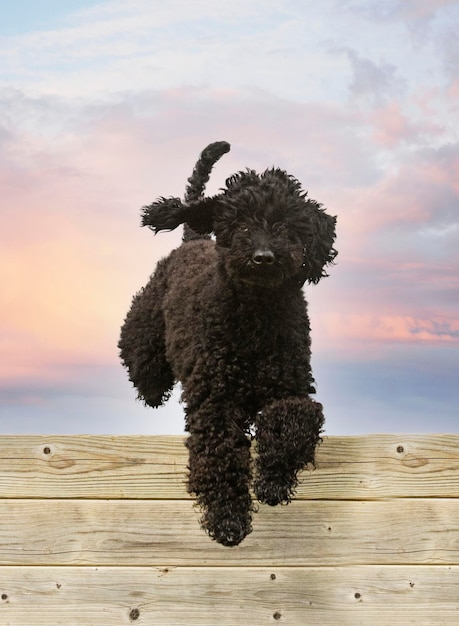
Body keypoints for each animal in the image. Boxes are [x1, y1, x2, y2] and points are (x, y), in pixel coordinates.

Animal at [118, 140, 338, 540]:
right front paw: (228, 519)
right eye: (241, 223)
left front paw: (273, 480)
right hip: (144, 340)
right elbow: (219, 455)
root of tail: (195, 239)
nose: (263, 257)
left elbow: (297, 417)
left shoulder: (291, 386)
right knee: (145, 371)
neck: (254, 318)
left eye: (285, 225)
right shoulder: (215, 402)